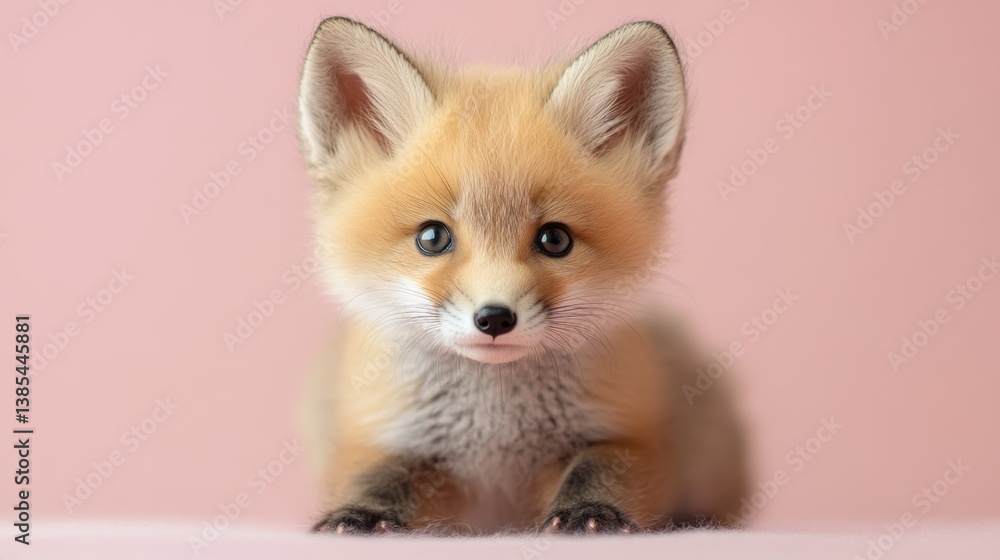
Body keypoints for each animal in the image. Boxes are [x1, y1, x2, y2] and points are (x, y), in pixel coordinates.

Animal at [296, 16, 747, 534]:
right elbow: (378, 476)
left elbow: (600, 470)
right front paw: (360, 514)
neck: (495, 431)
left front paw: (590, 513)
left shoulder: (632, 434)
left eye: (555, 239)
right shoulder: (384, 435)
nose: (494, 319)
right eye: (432, 237)